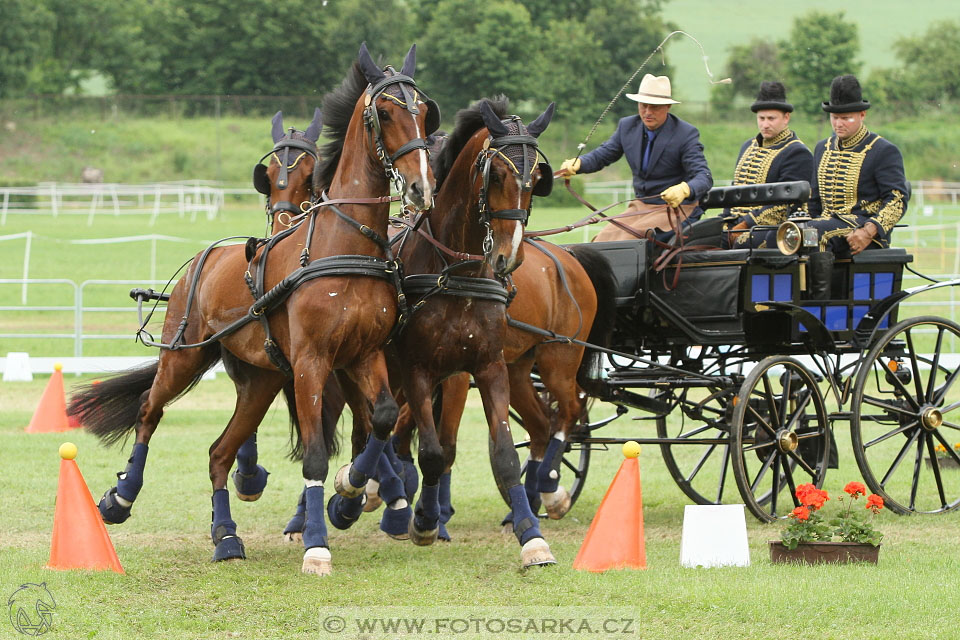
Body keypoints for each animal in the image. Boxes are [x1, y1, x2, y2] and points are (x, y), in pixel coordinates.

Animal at [67, 43, 438, 576]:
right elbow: (315, 456)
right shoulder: (311, 363)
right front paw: (317, 544)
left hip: (260, 379)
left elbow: (382, 418)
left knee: (219, 452)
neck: (344, 244)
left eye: (425, 112)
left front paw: (350, 489)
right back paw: (121, 497)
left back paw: (226, 536)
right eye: (384, 114)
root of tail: (201, 260)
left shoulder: (362, 355)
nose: (421, 188)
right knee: (148, 412)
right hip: (185, 355)